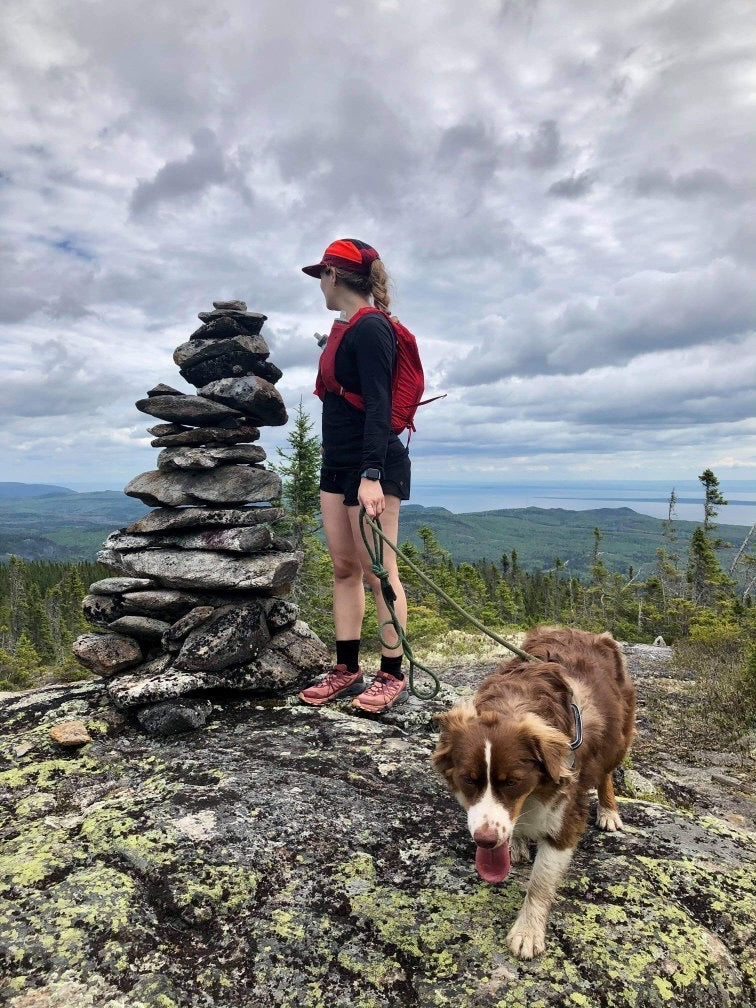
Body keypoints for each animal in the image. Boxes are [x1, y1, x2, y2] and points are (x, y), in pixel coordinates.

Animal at [431, 620, 633, 959]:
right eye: (469, 779)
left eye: (512, 781)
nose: (485, 841)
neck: (514, 702)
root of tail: (584, 631)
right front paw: (515, 842)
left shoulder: (565, 813)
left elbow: (541, 881)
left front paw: (527, 932)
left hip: (619, 734)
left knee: (606, 770)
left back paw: (608, 811)